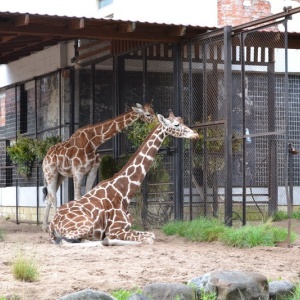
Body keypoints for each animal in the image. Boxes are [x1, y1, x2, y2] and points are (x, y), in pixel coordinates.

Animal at [42, 103, 156, 232]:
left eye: (153, 111)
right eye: (148, 114)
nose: (157, 122)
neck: (94, 141)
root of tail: (45, 158)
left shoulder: (93, 170)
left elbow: (87, 194)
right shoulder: (78, 171)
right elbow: (77, 197)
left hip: (60, 175)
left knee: (49, 197)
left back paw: (45, 226)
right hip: (50, 173)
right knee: (53, 198)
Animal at [48, 110, 199, 246]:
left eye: (182, 121)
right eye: (176, 125)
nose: (196, 135)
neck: (123, 192)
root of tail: (52, 223)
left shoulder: (127, 228)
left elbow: (151, 234)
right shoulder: (116, 229)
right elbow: (149, 239)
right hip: (85, 225)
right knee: (66, 242)